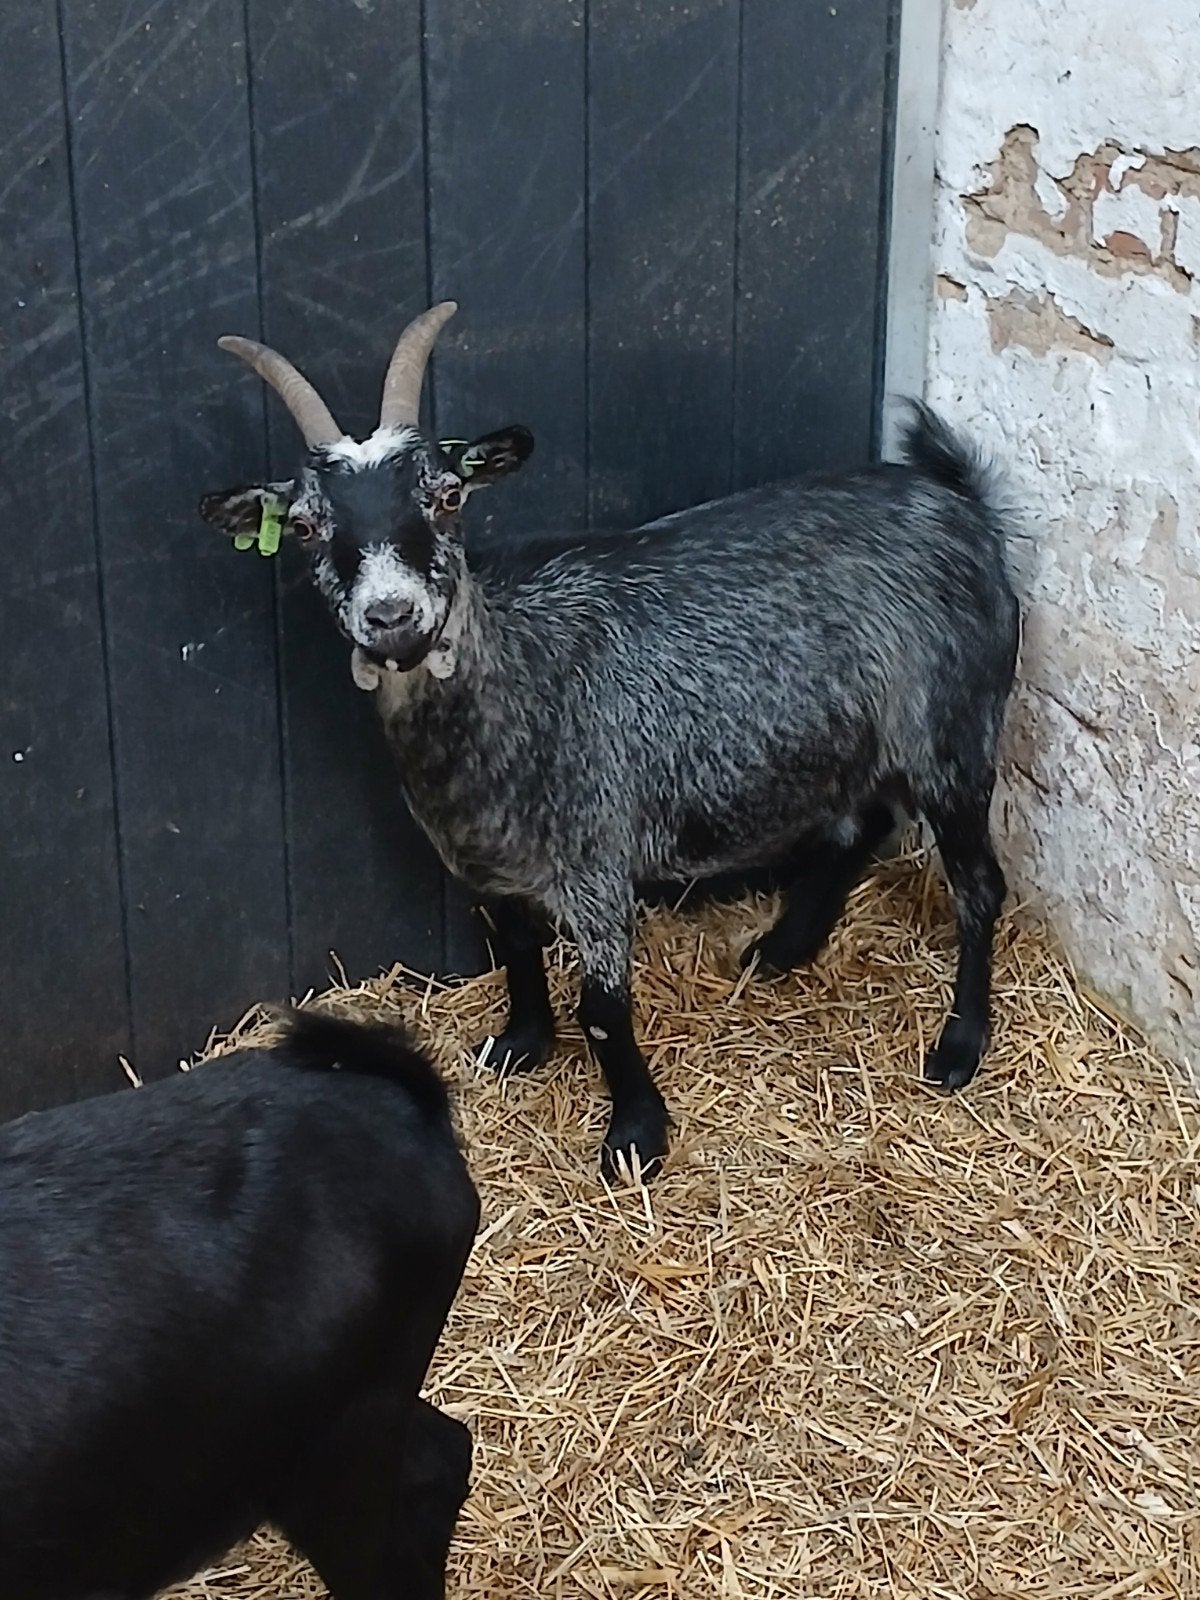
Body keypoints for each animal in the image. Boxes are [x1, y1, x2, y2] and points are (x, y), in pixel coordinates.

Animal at [201, 302, 1019, 1182]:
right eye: (306, 525)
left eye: (448, 496)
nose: (392, 617)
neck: (517, 683)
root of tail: (960, 505)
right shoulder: (487, 859)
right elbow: (515, 946)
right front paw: (519, 1044)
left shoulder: (595, 856)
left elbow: (601, 1005)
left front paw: (634, 1133)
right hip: (858, 728)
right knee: (858, 819)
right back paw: (784, 946)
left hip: (953, 729)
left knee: (978, 883)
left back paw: (959, 1045)